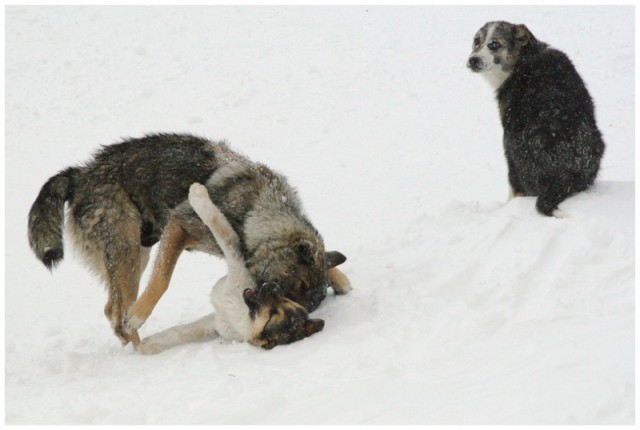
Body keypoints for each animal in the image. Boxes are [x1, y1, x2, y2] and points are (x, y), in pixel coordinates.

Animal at [136, 183, 324, 354]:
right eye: (286, 300)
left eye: (273, 313)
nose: (272, 285)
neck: (243, 318)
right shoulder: (217, 320)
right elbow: (182, 331)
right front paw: (148, 346)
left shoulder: (235, 255)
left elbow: (217, 223)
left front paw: (197, 193)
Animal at [468, 21, 604, 217]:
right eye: (476, 41)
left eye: (494, 44)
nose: (473, 60)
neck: (524, 58)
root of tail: (562, 178)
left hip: (510, 145)